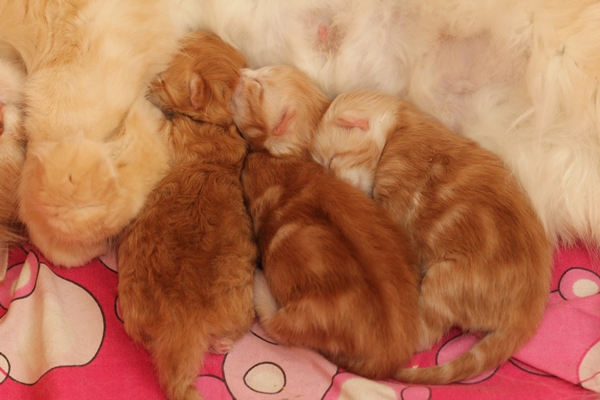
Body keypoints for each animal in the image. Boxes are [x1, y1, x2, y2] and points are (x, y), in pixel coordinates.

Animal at [231, 64, 421, 380]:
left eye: (258, 82)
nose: (241, 70)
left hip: (296, 316)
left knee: (275, 324)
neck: (291, 156)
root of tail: (389, 356)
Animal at [312, 89, 554, 384]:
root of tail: (526, 316)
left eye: (331, 160)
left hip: (443, 282)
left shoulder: (395, 177)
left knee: (424, 337)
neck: (402, 121)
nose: (336, 188)